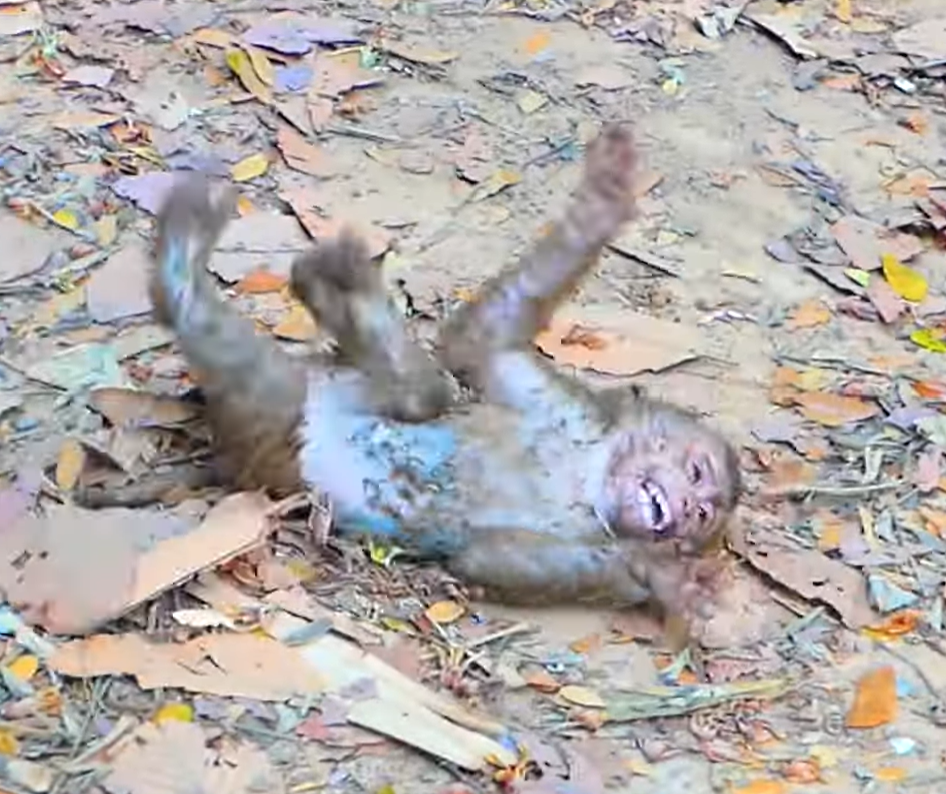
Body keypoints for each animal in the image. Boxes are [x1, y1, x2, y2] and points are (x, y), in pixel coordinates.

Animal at [148, 125, 742, 634]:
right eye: (696, 475)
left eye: (703, 515)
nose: (684, 512)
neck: (590, 476)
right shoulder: (558, 403)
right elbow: (476, 343)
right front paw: (604, 203)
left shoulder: (590, 536)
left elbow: (483, 560)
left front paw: (664, 580)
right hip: (304, 399)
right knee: (423, 390)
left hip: (274, 440)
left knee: (407, 391)